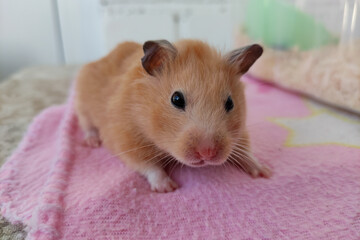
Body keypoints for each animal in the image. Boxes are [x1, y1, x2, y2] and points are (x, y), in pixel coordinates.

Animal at [76, 39, 272, 193]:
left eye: (230, 103)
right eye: (176, 99)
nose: (207, 153)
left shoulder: (239, 133)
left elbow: (246, 152)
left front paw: (265, 171)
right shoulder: (126, 139)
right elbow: (149, 166)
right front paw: (168, 187)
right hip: (82, 102)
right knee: (86, 124)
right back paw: (92, 141)